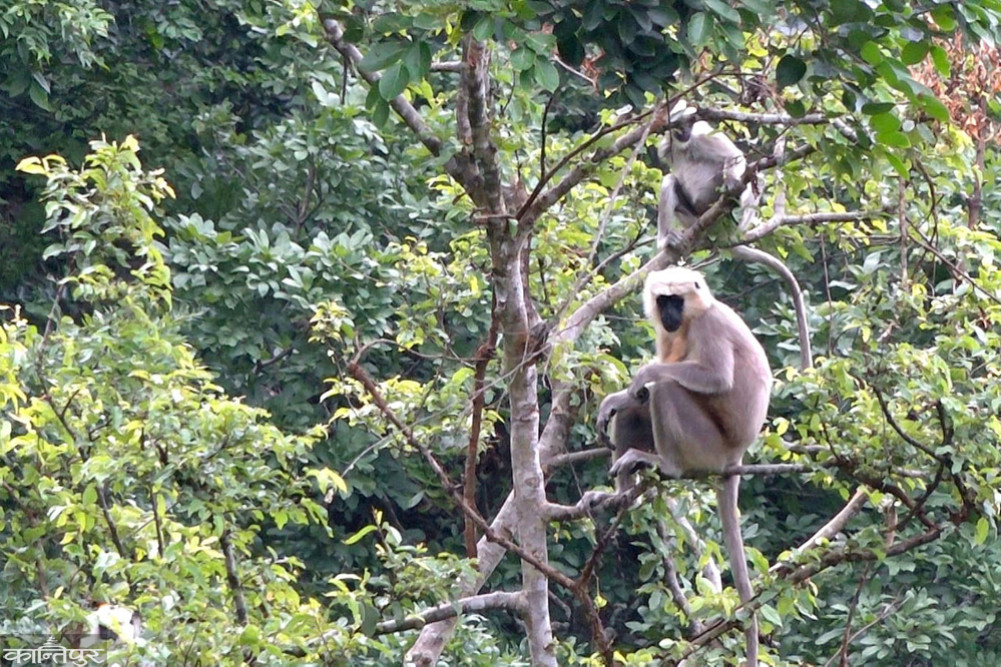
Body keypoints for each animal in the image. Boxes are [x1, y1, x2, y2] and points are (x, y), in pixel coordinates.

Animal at [596, 266, 772, 667]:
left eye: (678, 300)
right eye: (664, 301)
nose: (670, 314)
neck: (692, 319)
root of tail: (736, 454)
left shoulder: (710, 325)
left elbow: (715, 378)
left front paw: (642, 373)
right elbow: (634, 396)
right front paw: (617, 397)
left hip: (708, 447)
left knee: (664, 388)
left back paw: (668, 465)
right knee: (642, 401)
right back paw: (623, 493)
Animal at [658, 101, 813, 370]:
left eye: (689, 122)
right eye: (677, 125)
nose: (684, 132)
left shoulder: (702, 135)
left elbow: (733, 158)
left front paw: (732, 182)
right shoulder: (667, 145)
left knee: (753, 178)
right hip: (692, 218)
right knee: (670, 181)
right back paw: (669, 240)